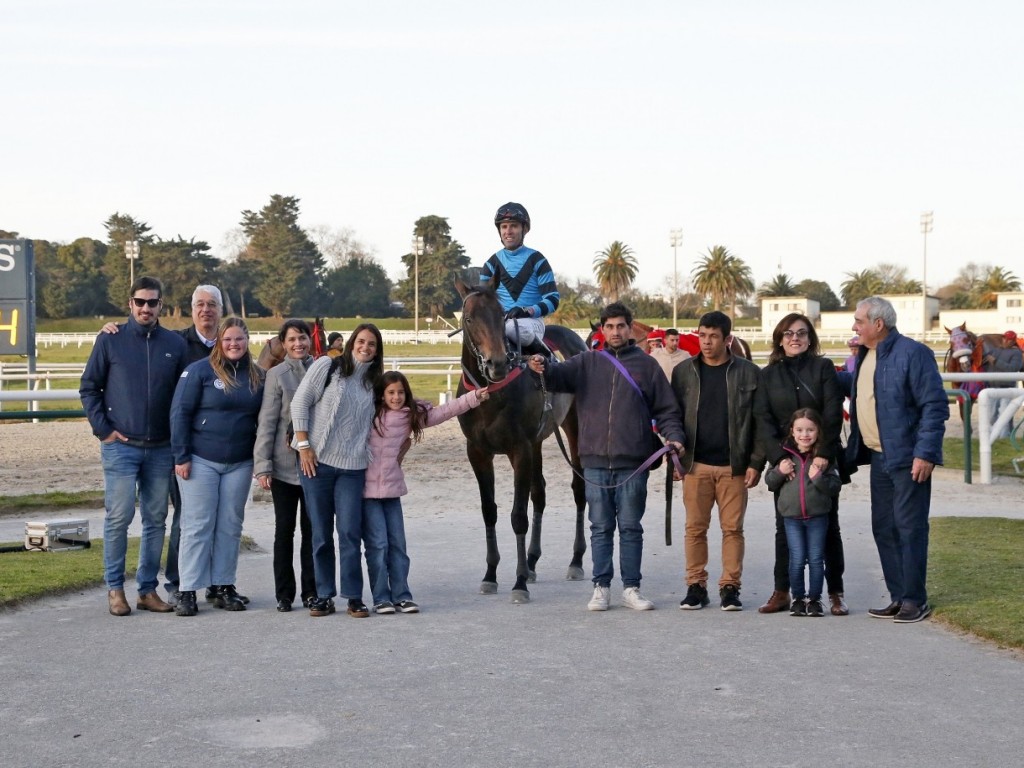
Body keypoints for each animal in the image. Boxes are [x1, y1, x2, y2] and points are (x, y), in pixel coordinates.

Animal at [454, 280, 589, 606]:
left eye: (502, 314)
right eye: (469, 319)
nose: (497, 364)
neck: (491, 393)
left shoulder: (520, 449)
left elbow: (518, 515)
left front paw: (519, 583)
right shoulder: (478, 452)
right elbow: (489, 510)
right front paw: (491, 576)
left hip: (573, 428)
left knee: (579, 489)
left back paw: (575, 561)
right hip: (538, 439)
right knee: (539, 492)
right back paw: (532, 561)